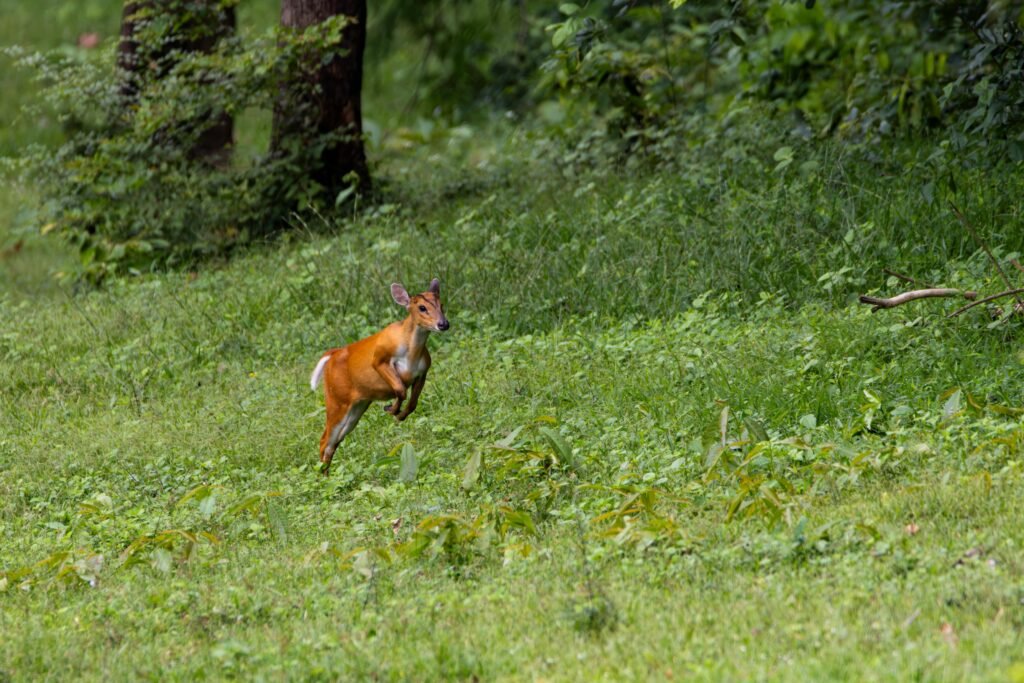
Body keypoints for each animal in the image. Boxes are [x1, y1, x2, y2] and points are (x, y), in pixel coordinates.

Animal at [309, 278, 449, 474]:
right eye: (422, 307)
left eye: (441, 305)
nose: (443, 324)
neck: (412, 353)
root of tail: (332, 355)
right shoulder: (379, 357)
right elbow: (400, 389)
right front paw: (391, 409)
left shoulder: (423, 372)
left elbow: (412, 403)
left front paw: (398, 414)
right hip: (336, 400)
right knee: (324, 440)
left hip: (357, 407)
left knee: (332, 444)